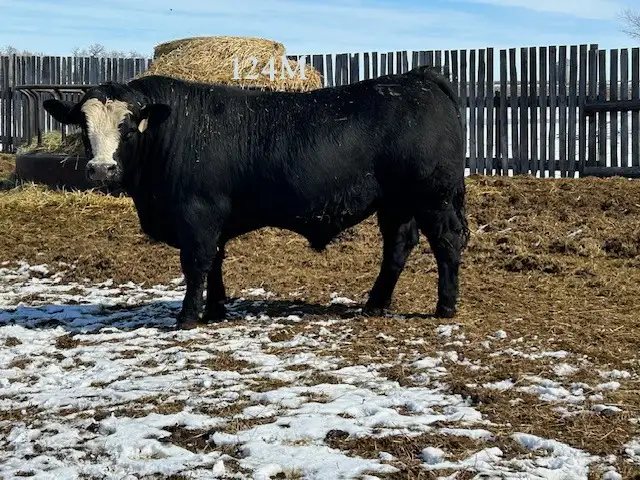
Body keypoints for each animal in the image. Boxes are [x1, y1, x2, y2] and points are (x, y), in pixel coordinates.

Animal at [42, 65, 470, 329]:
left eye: (128, 126)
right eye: (83, 125)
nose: (101, 169)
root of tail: (419, 77)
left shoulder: (197, 216)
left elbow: (196, 263)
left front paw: (187, 317)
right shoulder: (212, 219)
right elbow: (214, 262)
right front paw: (215, 309)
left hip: (433, 199)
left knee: (447, 242)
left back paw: (445, 306)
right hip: (396, 204)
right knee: (398, 246)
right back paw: (375, 304)